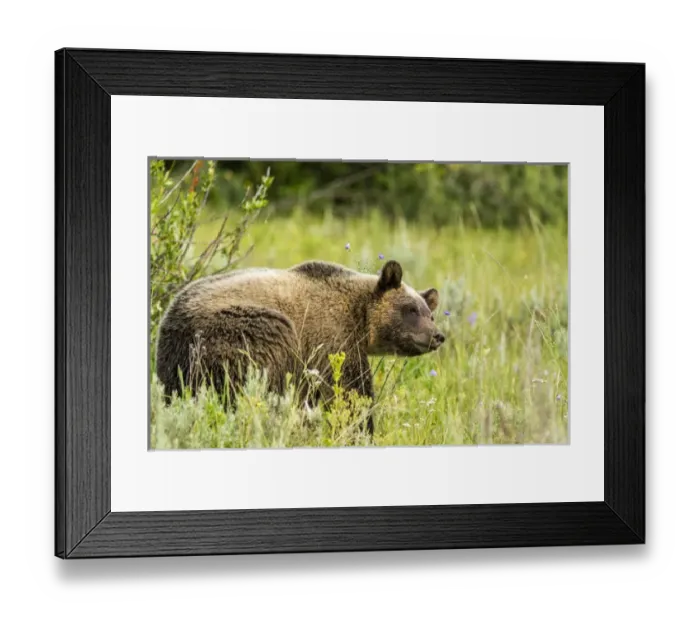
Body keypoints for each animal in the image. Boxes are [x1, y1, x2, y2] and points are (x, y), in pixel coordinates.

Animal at [155, 259, 445, 434]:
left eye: (429, 313)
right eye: (411, 309)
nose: (437, 336)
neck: (359, 317)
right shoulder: (331, 340)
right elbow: (350, 392)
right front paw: (362, 429)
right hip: (245, 331)